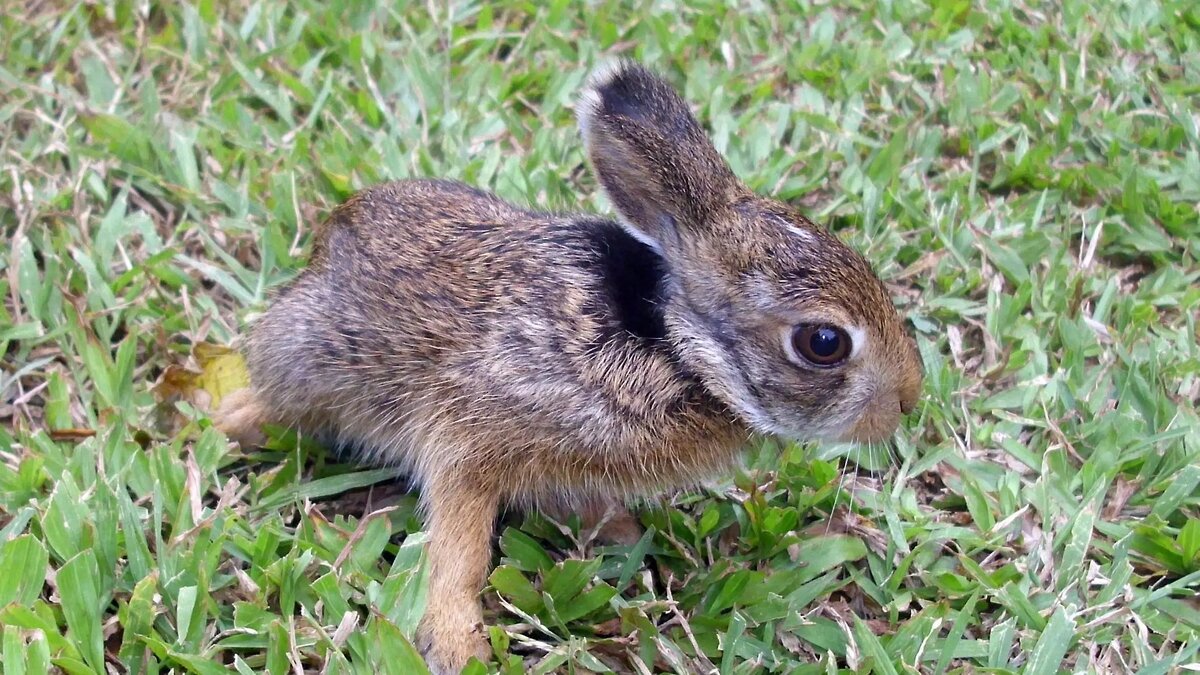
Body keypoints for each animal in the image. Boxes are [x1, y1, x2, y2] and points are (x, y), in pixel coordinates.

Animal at [216, 60, 921, 667]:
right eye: (824, 342)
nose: (908, 399)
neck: (677, 347)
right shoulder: (470, 438)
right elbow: (459, 550)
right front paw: (458, 646)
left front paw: (624, 538)